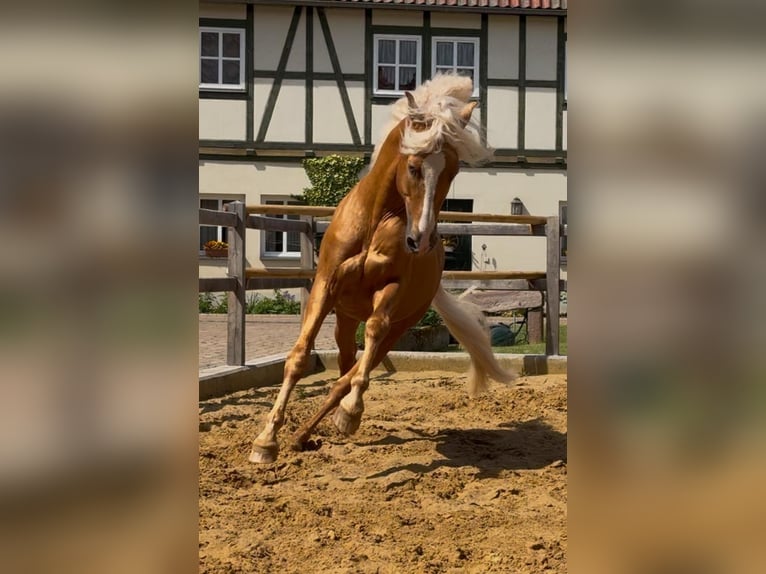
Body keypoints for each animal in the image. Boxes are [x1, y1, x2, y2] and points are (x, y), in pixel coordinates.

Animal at [249, 74, 516, 464]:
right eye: (413, 166)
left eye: (451, 170)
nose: (421, 240)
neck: (375, 221)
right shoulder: (326, 285)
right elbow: (298, 357)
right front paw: (265, 441)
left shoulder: (391, 289)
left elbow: (373, 333)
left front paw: (350, 413)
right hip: (344, 320)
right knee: (346, 362)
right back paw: (302, 434)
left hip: (401, 324)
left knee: (352, 372)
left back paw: (331, 422)